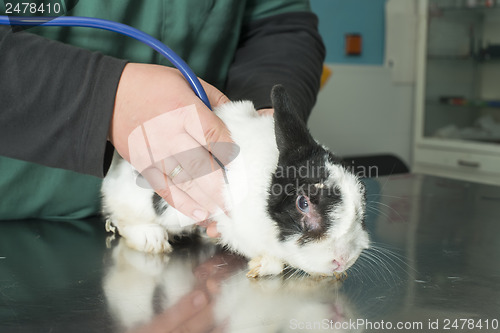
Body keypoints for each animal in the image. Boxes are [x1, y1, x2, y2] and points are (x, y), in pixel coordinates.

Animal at [101, 84, 370, 276]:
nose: (343, 261)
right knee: (121, 218)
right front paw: (262, 266)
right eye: (303, 204)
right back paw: (152, 239)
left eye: (361, 197)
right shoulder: (236, 226)